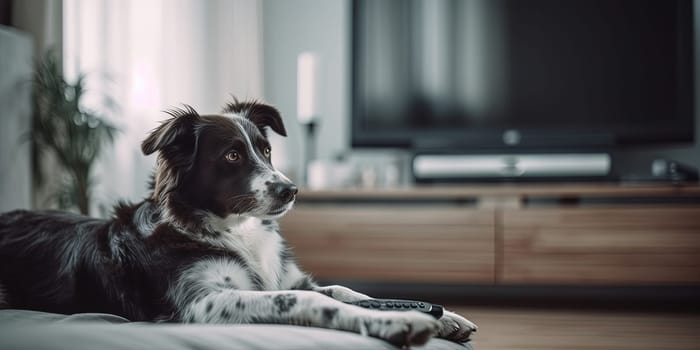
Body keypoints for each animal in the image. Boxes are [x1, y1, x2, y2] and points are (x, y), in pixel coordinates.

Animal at [0, 99, 476, 348]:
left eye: (266, 151)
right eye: (231, 155)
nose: (291, 190)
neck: (232, 230)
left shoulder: (284, 277)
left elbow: (346, 291)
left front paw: (445, 316)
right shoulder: (200, 303)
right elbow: (308, 300)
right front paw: (398, 323)